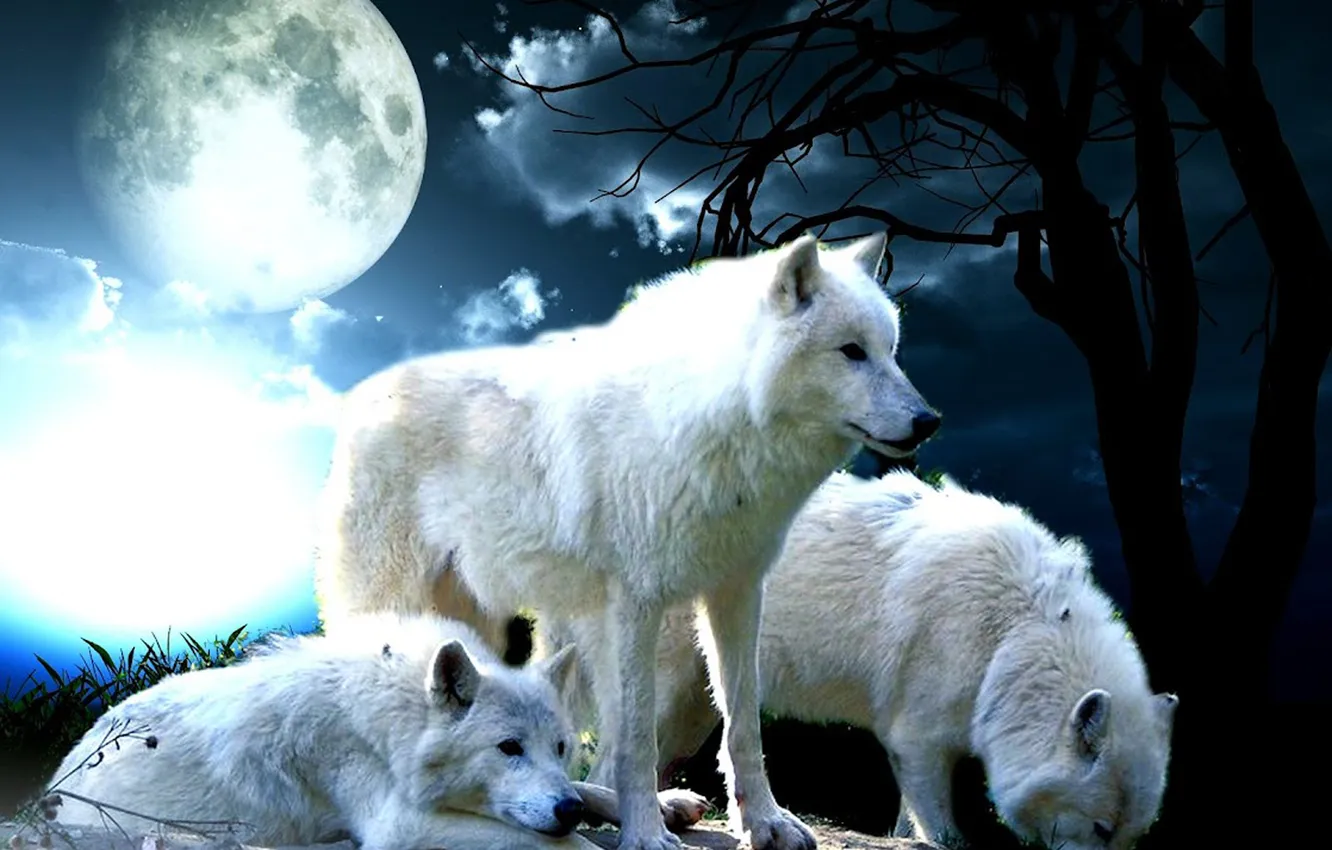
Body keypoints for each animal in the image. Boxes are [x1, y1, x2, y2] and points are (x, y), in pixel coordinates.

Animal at [44, 613, 708, 850]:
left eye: (562, 748)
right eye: (508, 749)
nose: (566, 810)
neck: (393, 723)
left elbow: (597, 790)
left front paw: (662, 808)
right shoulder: (401, 827)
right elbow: (568, 847)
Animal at [313, 232, 940, 850]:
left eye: (890, 349)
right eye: (851, 351)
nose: (928, 420)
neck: (716, 425)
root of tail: (364, 395)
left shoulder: (737, 590)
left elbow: (743, 722)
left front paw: (765, 824)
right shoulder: (636, 602)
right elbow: (638, 737)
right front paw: (646, 836)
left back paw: (657, 806)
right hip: (400, 607)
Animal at [552, 471, 1180, 850]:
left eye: (1129, 836)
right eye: (1099, 827)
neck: (1011, 634)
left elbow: (905, 825)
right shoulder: (915, 741)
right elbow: (943, 833)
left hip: (695, 714)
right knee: (605, 770)